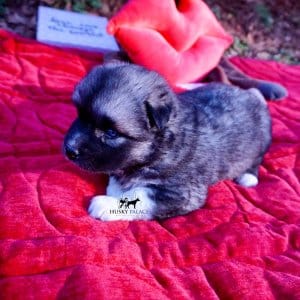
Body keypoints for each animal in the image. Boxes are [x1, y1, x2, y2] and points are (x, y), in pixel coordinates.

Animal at [63, 62, 272, 220]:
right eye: (79, 115)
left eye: (111, 132)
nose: (69, 149)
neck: (160, 146)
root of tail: (252, 95)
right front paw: (116, 185)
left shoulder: (182, 192)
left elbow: (141, 194)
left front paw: (107, 203)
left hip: (261, 141)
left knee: (257, 160)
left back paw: (248, 177)